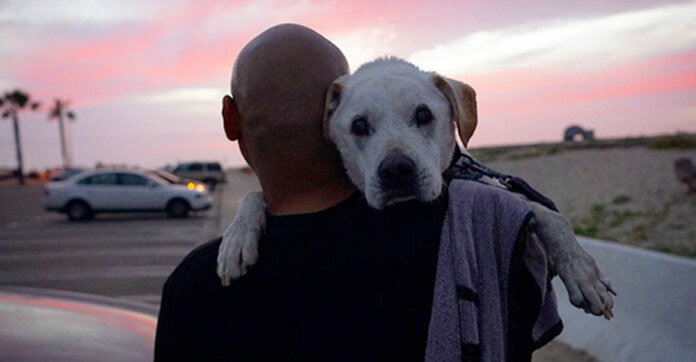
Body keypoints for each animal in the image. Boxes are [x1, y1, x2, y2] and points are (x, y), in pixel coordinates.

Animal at [216, 55, 616, 316]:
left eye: (424, 114)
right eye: (358, 125)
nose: (397, 171)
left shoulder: (491, 185)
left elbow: (547, 214)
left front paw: (583, 272)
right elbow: (252, 193)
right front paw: (236, 239)